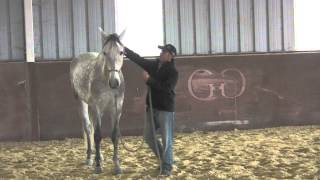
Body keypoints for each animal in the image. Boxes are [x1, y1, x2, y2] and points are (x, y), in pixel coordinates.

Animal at [70, 28, 125, 174]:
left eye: (121, 52)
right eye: (105, 52)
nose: (114, 82)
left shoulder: (117, 108)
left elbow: (115, 135)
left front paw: (117, 166)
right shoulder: (96, 106)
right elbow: (98, 135)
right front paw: (98, 166)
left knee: (92, 127)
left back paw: (98, 156)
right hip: (82, 102)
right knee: (89, 128)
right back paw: (90, 157)